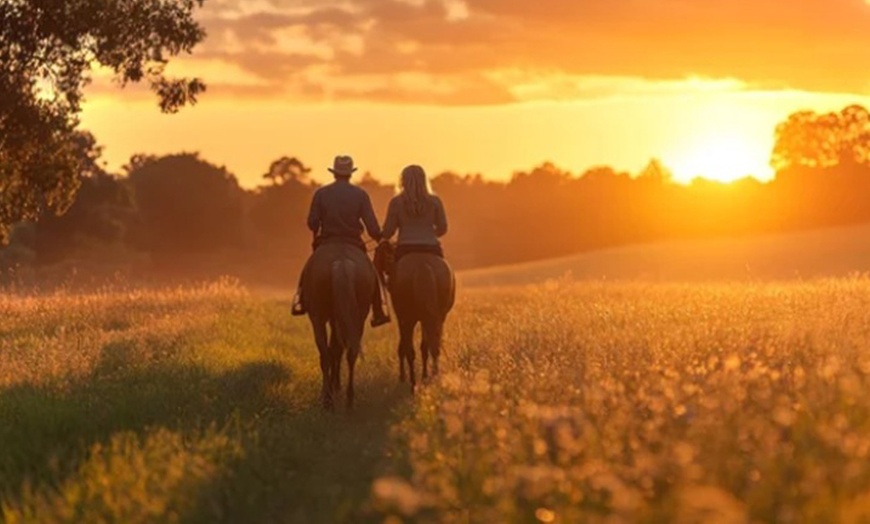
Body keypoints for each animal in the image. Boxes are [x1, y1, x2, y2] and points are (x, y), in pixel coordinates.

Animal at [302, 242, 376, 410]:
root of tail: (342, 263)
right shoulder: (338, 319)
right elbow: (337, 349)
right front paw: (336, 385)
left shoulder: (328, 319)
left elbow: (332, 350)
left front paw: (333, 387)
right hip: (358, 318)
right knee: (350, 353)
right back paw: (349, 400)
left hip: (318, 318)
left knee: (325, 355)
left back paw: (327, 399)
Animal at [374, 244, 456, 390]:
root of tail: (423, 265)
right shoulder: (425, 319)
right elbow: (424, 347)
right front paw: (425, 375)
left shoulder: (402, 319)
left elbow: (402, 348)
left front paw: (402, 377)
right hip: (438, 317)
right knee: (434, 346)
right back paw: (433, 375)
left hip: (409, 319)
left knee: (410, 351)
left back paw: (413, 383)